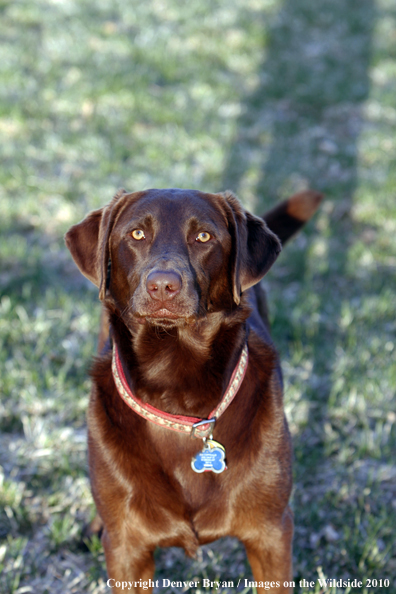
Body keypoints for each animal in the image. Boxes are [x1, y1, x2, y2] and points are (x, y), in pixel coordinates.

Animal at [65, 187, 322, 588]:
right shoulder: (127, 551)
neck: (177, 388)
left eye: (203, 236)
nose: (163, 286)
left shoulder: (272, 533)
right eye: (137, 234)